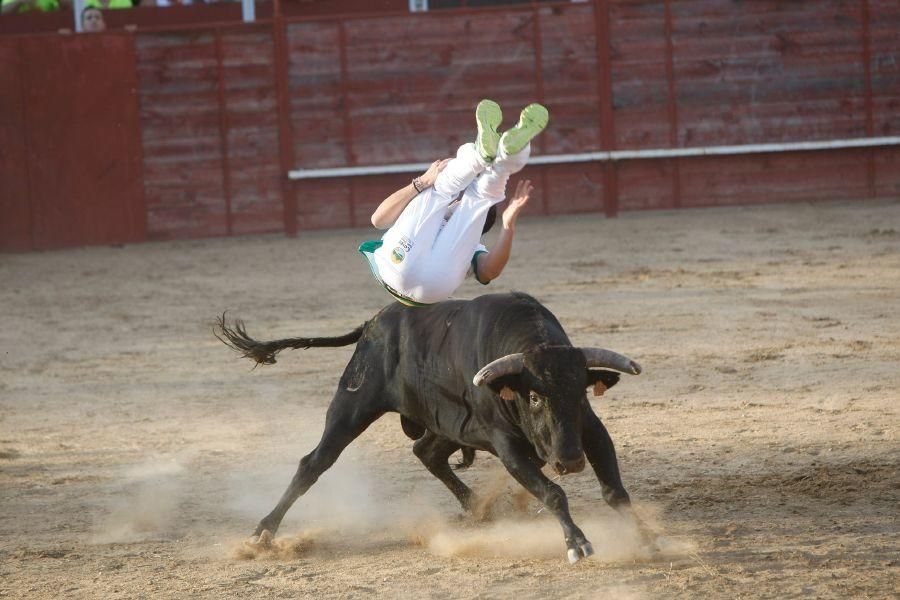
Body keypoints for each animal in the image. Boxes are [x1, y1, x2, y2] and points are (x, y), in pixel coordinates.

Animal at [215, 290, 656, 564]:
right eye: (533, 397)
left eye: (580, 393)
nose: (570, 461)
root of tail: (372, 323)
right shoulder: (508, 445)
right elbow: (552, 493)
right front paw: (578, 543)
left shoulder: (591, 431)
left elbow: (615, 491)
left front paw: (645, 536)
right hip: (352, 405)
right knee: (314, 462)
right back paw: (263, 532)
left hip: (447, 426)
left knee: (425, 452)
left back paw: (477, 507)